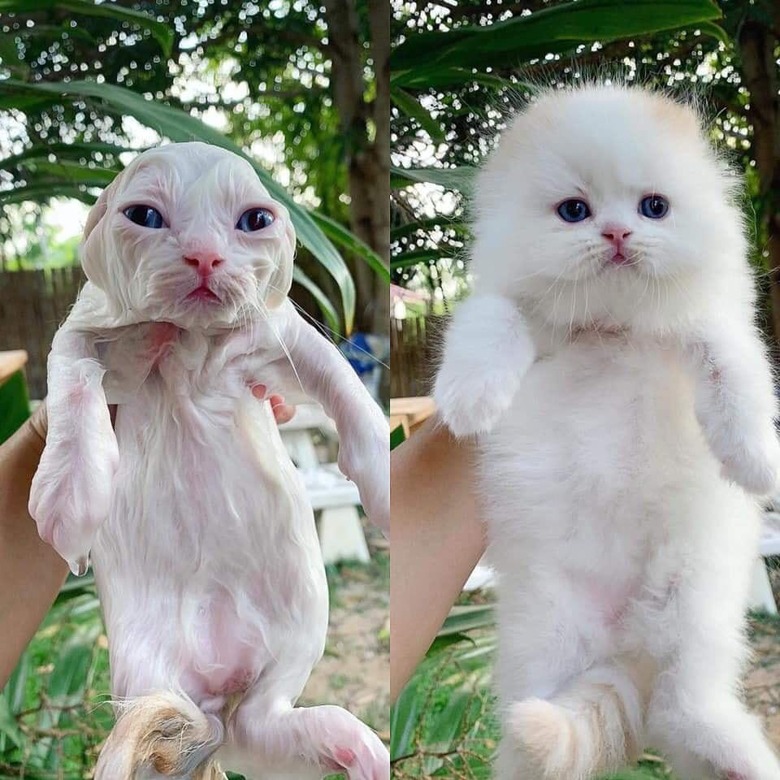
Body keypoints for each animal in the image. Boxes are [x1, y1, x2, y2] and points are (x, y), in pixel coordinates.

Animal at [29, 143, 390, 776]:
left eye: (256, 219)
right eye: (144, 216)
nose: (203, 254)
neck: (194, 344)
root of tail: (217, 688)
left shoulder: (287, 337)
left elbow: (349, 392)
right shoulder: (84, 329)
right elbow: (70, 379)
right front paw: (68, 503)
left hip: (301, 621)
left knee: (260, 719)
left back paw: (347, 742)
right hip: (144, 660)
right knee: (224, 722)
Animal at [436, 85, 780, 780]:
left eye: (655, 208)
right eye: (574, 211)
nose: (618, 232)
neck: (613, 329)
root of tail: (628, 649)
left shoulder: (710, 327)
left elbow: (736, 375)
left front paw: (757, 463)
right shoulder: (513, 309)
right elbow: (491, 325)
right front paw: (470, 400)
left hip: (695, 609)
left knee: (688, 709)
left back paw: (744, 759)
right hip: (547, 635)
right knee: (554, 727)